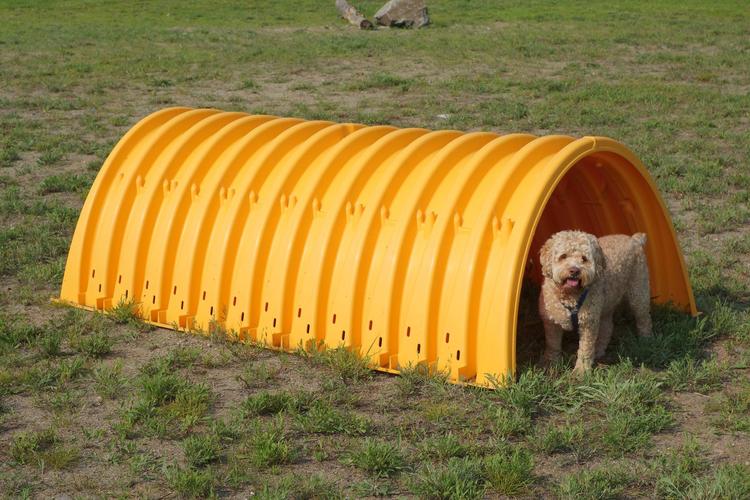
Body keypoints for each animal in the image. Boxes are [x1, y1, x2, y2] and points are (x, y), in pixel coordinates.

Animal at [538, 230, 652, 375]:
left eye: (584, 258)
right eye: (563, 256)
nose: (574, 270)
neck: (570, 295)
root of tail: (635, 239)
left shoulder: (588, 323)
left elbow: (585, 349)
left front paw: (581, 371)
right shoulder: (551, 322)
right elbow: (552, 344)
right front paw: (550, 363)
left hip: (638, 292)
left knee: (644, 318)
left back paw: (646, 340)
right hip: (606, 305)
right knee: (607, 328)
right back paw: (599, 350)